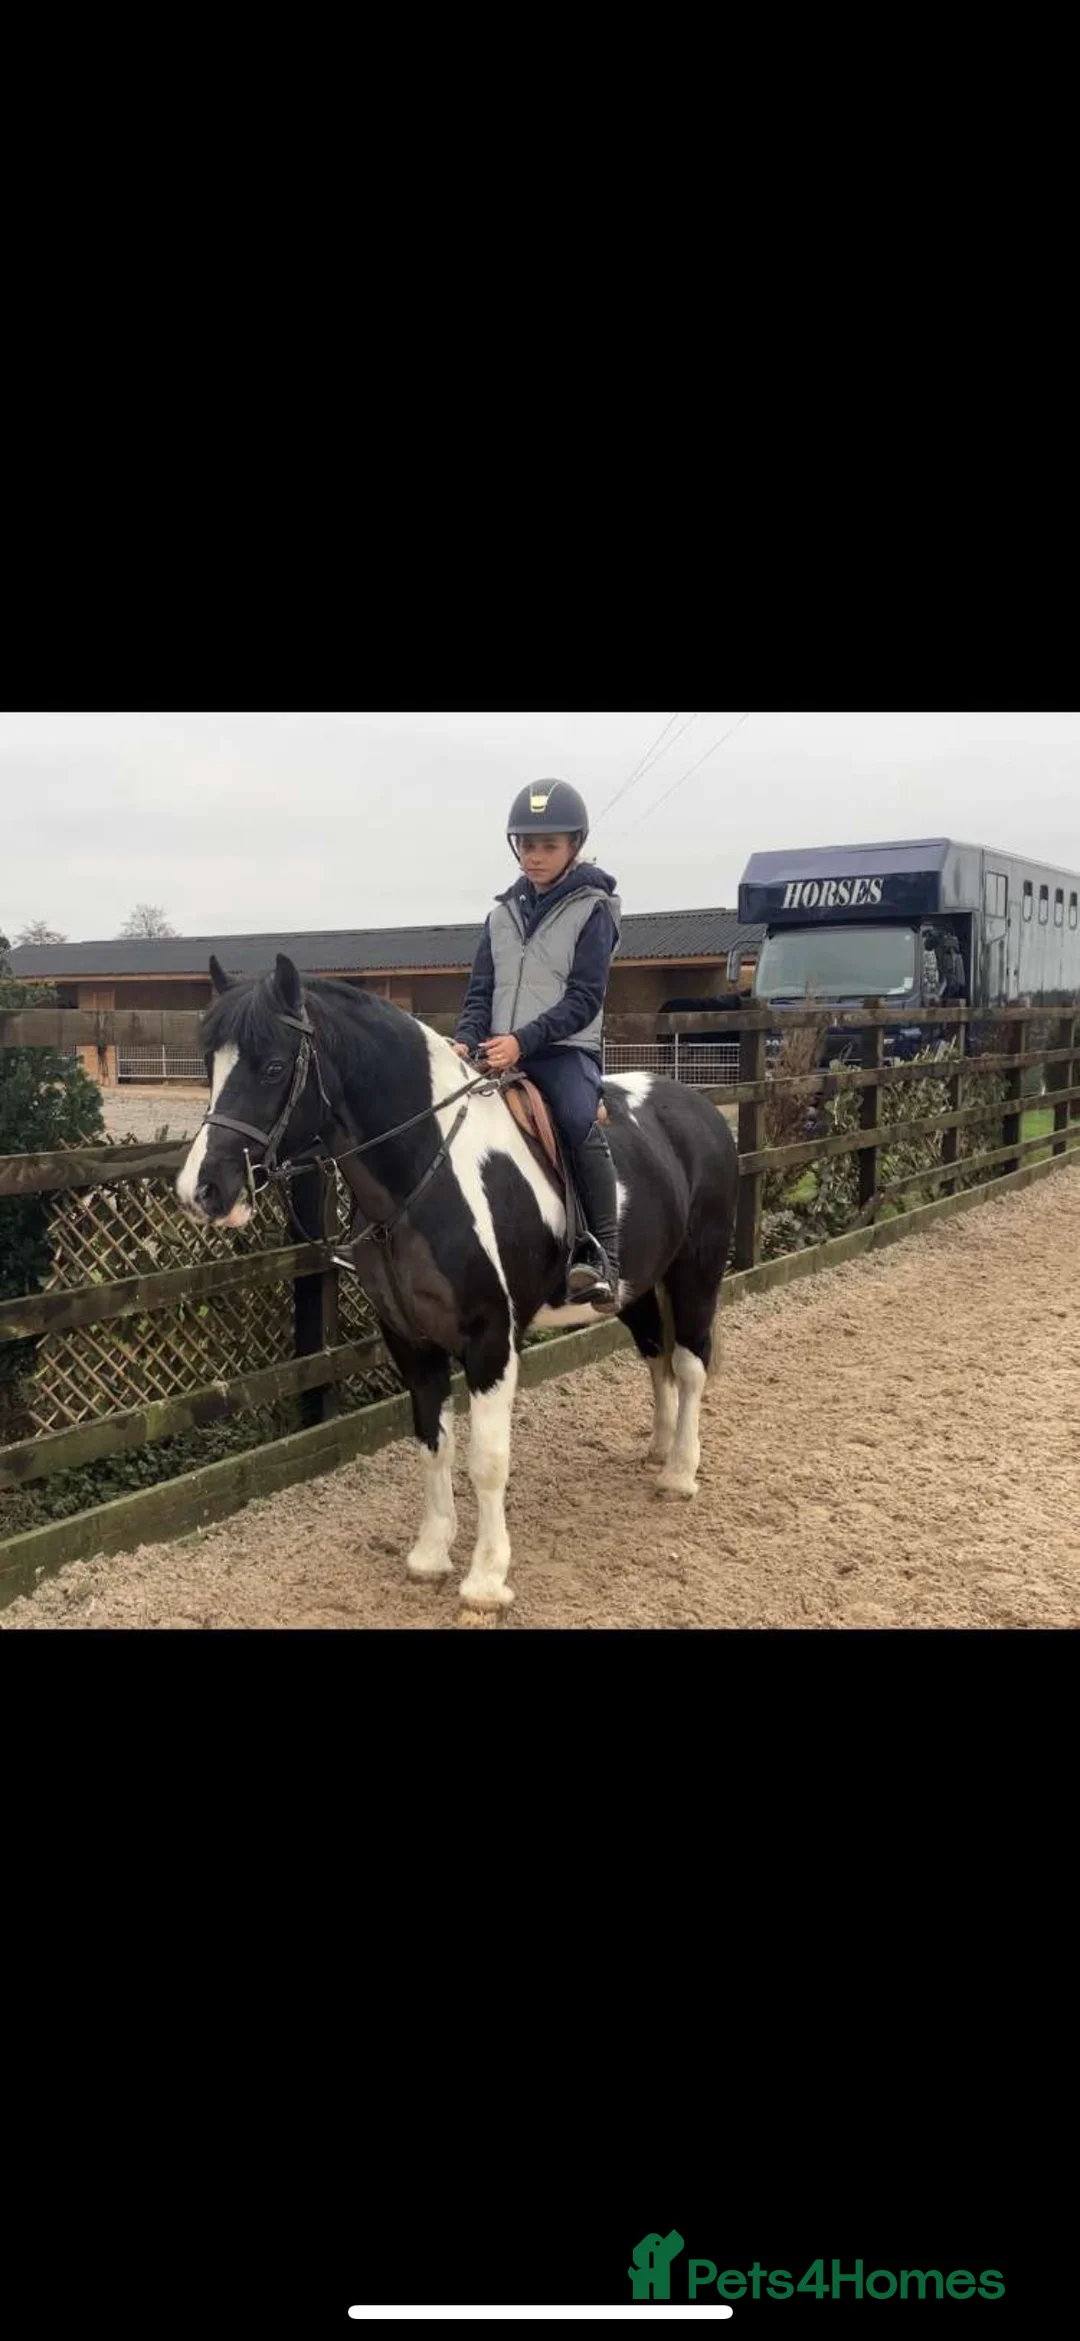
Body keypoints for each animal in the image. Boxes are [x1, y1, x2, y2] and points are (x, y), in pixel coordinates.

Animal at [175, 952, 740, 1611]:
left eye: (271, 1067)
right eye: (209, 1065)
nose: (201, 1190)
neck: (427, 1173)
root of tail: (699, 1108)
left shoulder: (491, 1339)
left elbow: (487, 1460)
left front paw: (487, 1579)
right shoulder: (410, 1339)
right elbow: (432, 1442)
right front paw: (429, 1554)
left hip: (696, 1271)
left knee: (692, 1363)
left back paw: (679, 1473)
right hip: (634, 1288)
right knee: (656, 1355)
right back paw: (658, 1449)